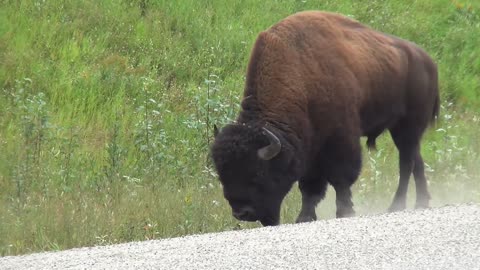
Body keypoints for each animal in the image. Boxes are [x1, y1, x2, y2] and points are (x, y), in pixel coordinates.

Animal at [210, 10, 438, 226]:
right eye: (222, 175)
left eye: (258, 174)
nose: (242, 213)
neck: (300, 75)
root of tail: (428, 61)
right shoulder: (310, 146)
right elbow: (310, 187)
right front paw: (304, 217)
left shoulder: (340, 139)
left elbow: (340, 179)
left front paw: (344, 212)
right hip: (403, 130)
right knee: (416, 160)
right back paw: (421, 202)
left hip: (407, 127)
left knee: (406, 164)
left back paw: (396, 206)